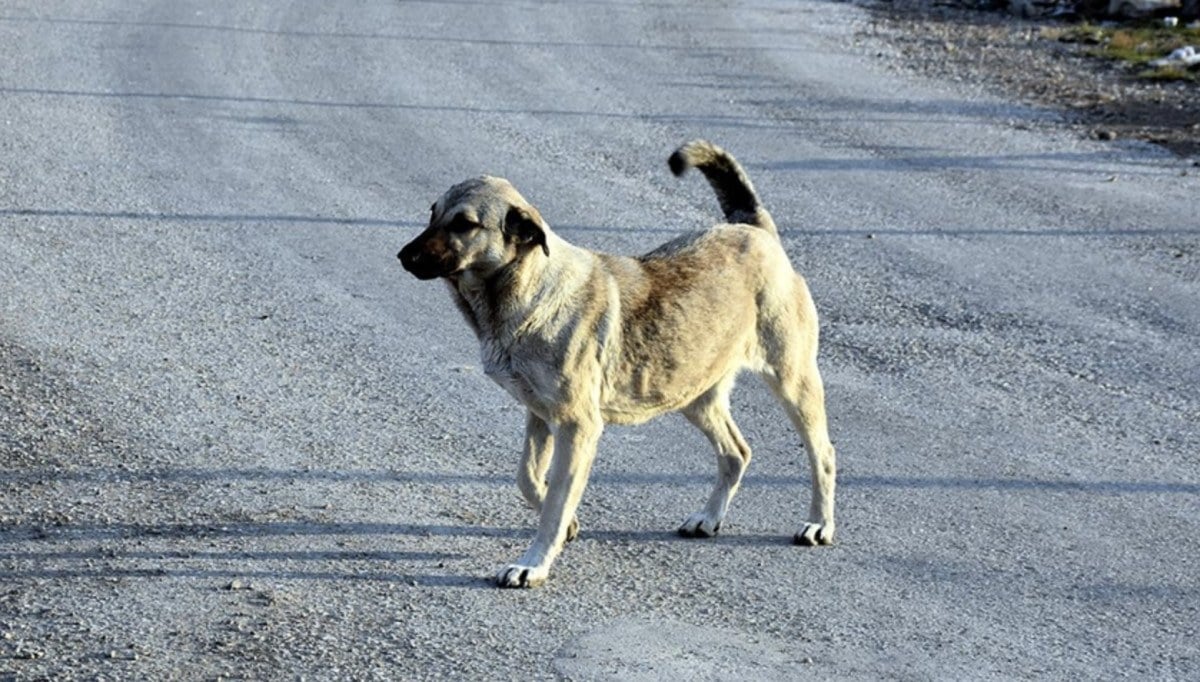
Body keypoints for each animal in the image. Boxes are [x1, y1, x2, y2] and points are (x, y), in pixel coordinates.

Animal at [398, 141, 840, 588]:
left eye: (464, 224)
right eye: (433, 213)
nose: (403, 256)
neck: (530, 289)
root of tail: (754, 230)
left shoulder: (577, 427)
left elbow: (554, 505)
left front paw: (535, 563)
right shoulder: (540, 416)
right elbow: (528, 477)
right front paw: (568, 524)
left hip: (793, 382)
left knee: (823, 453)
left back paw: (819, 524)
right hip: (693, 394)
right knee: (736, 452)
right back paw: (710, 517)